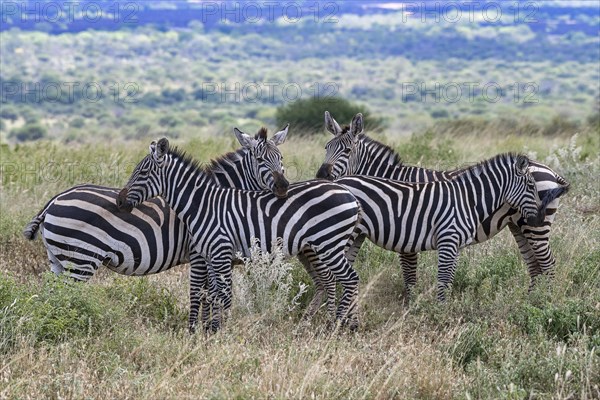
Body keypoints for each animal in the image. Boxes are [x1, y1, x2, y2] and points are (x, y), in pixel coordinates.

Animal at [117, 138, 360, 332]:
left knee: (350, 278)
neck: (203, 205)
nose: (119, 201)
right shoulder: (209, 256)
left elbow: (222, 294)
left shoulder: (220, 252)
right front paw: (211, 329)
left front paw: (220, 331)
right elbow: (212, 293)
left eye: (143, 173)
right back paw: (332, 323)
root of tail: (349, 194)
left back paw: (336, 326)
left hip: (328, 244)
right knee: (335, 280)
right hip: (319, 246)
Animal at [318, 112, 548, 300]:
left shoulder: (406, 232)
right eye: (326, 148)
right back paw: (531, 300)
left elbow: (410, 274)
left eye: (347, 150)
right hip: (519, 226)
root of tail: (546, 167)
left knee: (547, 264)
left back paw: (543, 300)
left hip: (534, 226)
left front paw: (411, 303)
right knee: (536, 266)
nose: (321, 176)